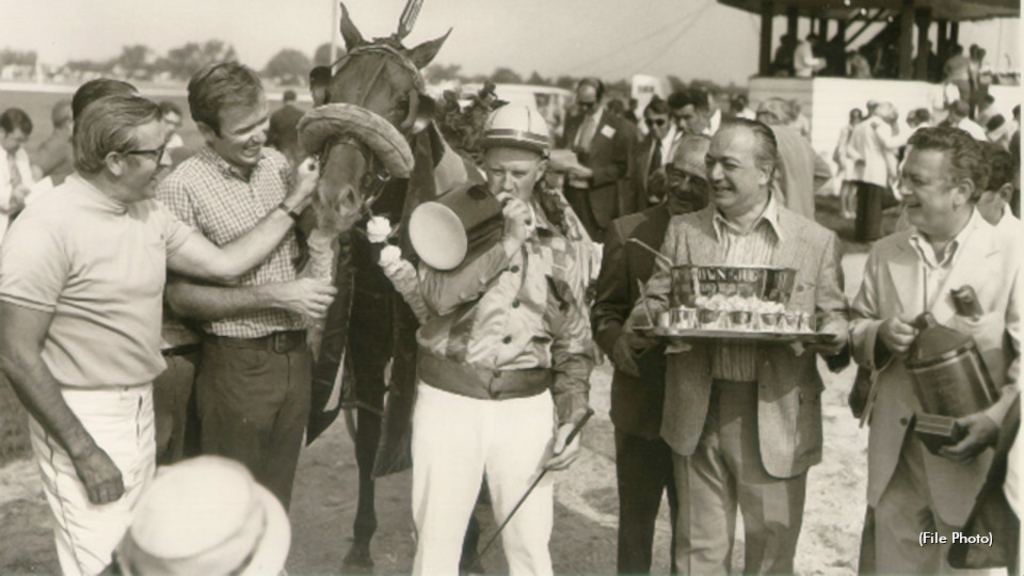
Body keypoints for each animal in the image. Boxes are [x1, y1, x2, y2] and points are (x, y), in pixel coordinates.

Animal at [292, 2, 475, 565]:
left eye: (404, 103)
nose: (333, 198)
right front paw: (361, 541)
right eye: (330, 88)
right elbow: (371, 434)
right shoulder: (368, 343)